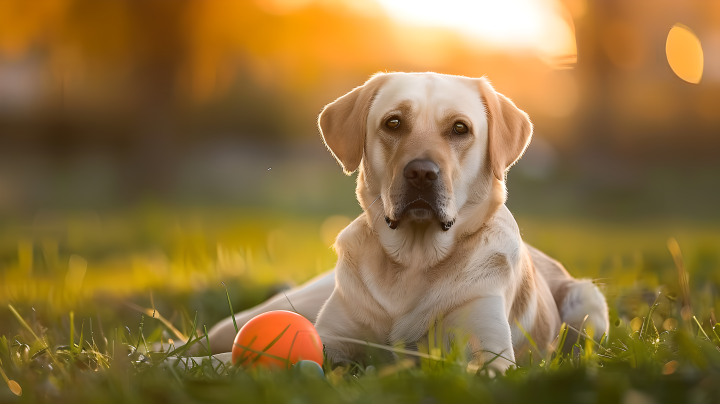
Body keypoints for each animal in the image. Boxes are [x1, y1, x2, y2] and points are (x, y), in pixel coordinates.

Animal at [208, 72, 608, 372]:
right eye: (394, 122)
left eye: (460, 128)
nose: (421, 173)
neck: (416, 260)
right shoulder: (330, 341)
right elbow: (228, 358)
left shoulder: (491, 356)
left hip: (590, 307)